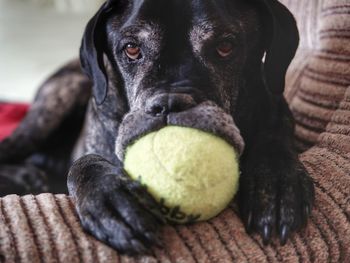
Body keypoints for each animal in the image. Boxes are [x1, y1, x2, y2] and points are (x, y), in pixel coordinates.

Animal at [0, 0, 314, 256]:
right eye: (132, 49)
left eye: (225, 46)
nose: (169, 103)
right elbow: (85, 163)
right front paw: (111, 200)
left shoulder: (276, 107)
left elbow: (275, 140)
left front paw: (274, 184)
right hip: (55, 104)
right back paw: (25, 175)